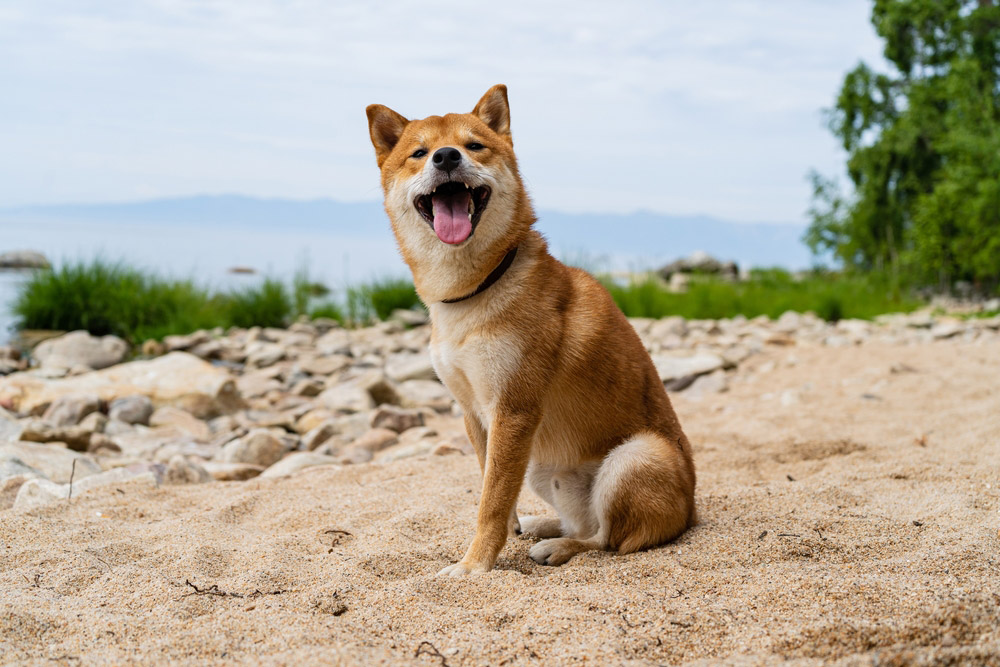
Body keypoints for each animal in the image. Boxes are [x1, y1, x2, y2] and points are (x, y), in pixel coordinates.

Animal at [366, 85, 696, 576]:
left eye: (473, 145)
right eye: (419, 153)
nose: (446, 157)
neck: (473, 292)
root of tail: (691, 512)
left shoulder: (514, 409)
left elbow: (491, 500)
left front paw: (473, 566)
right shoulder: (474, 411)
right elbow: (493, 487)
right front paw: (507, 531)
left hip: (635, 456)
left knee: (606, 539)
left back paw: (559, 547)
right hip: (543, 464)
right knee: (584, 523)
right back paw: (545, 526)